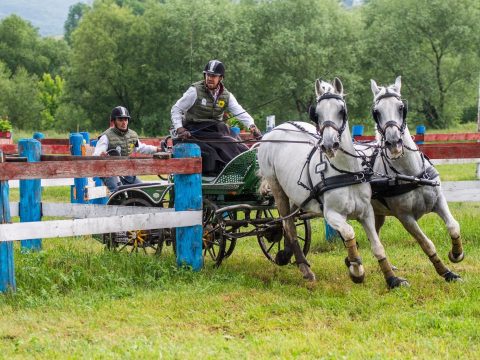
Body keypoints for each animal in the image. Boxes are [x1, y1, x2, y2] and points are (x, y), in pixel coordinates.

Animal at [256, 77, 406, 288]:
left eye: (341, 110)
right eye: (317, 113)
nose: (329, 144)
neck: (346, 172)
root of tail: (274, 130)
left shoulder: (366, 212)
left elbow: (377, 245)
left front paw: (392, 278)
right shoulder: (332, 214)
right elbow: (349, 233)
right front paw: (356, 269)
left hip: (295, 195)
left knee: (289, 223)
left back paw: (285, 254)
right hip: (277, 188)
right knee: (289, 226)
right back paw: (305, 270)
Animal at [370, 75, 464, 282]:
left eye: (401, 107)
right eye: (376, 112)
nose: (394, 143)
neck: (411, 173)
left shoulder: (438, 200)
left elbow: (453, 226)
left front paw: (456, 254)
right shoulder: (405, 217)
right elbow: (426, 243)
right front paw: (446, 272)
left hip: (377, 213)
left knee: (375, 233)